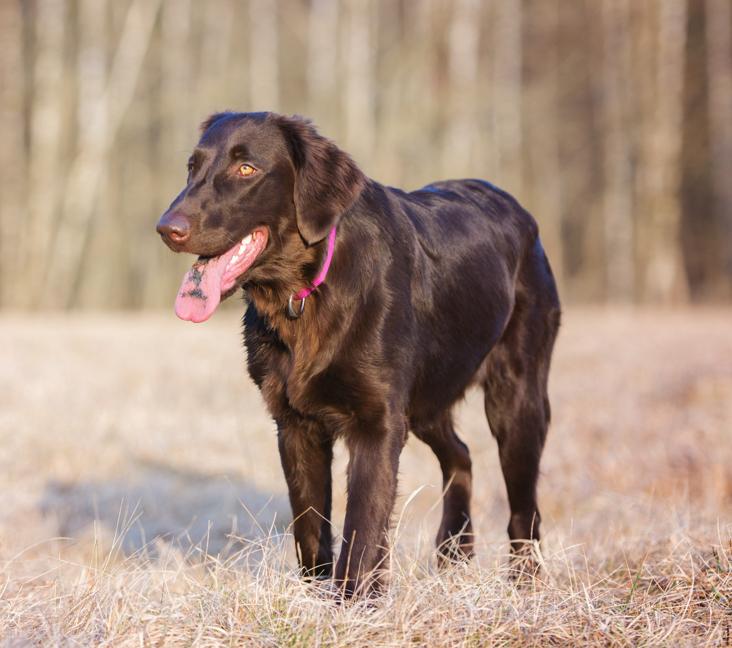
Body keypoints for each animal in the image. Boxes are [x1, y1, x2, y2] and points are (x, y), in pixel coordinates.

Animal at [157, 110, 560, 592]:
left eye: (246, 168)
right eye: (192, 167)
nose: (168, 228)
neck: (305, 294)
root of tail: (520, 211)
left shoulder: (378, 423)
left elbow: (362, 528)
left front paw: (353, 600)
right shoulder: (295, 425)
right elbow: (311, 529)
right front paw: (317, 596)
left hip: (515, 399)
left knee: (523, 510)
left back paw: (524, 582)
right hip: (427, 400)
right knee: (461, 456)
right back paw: (453, 553)